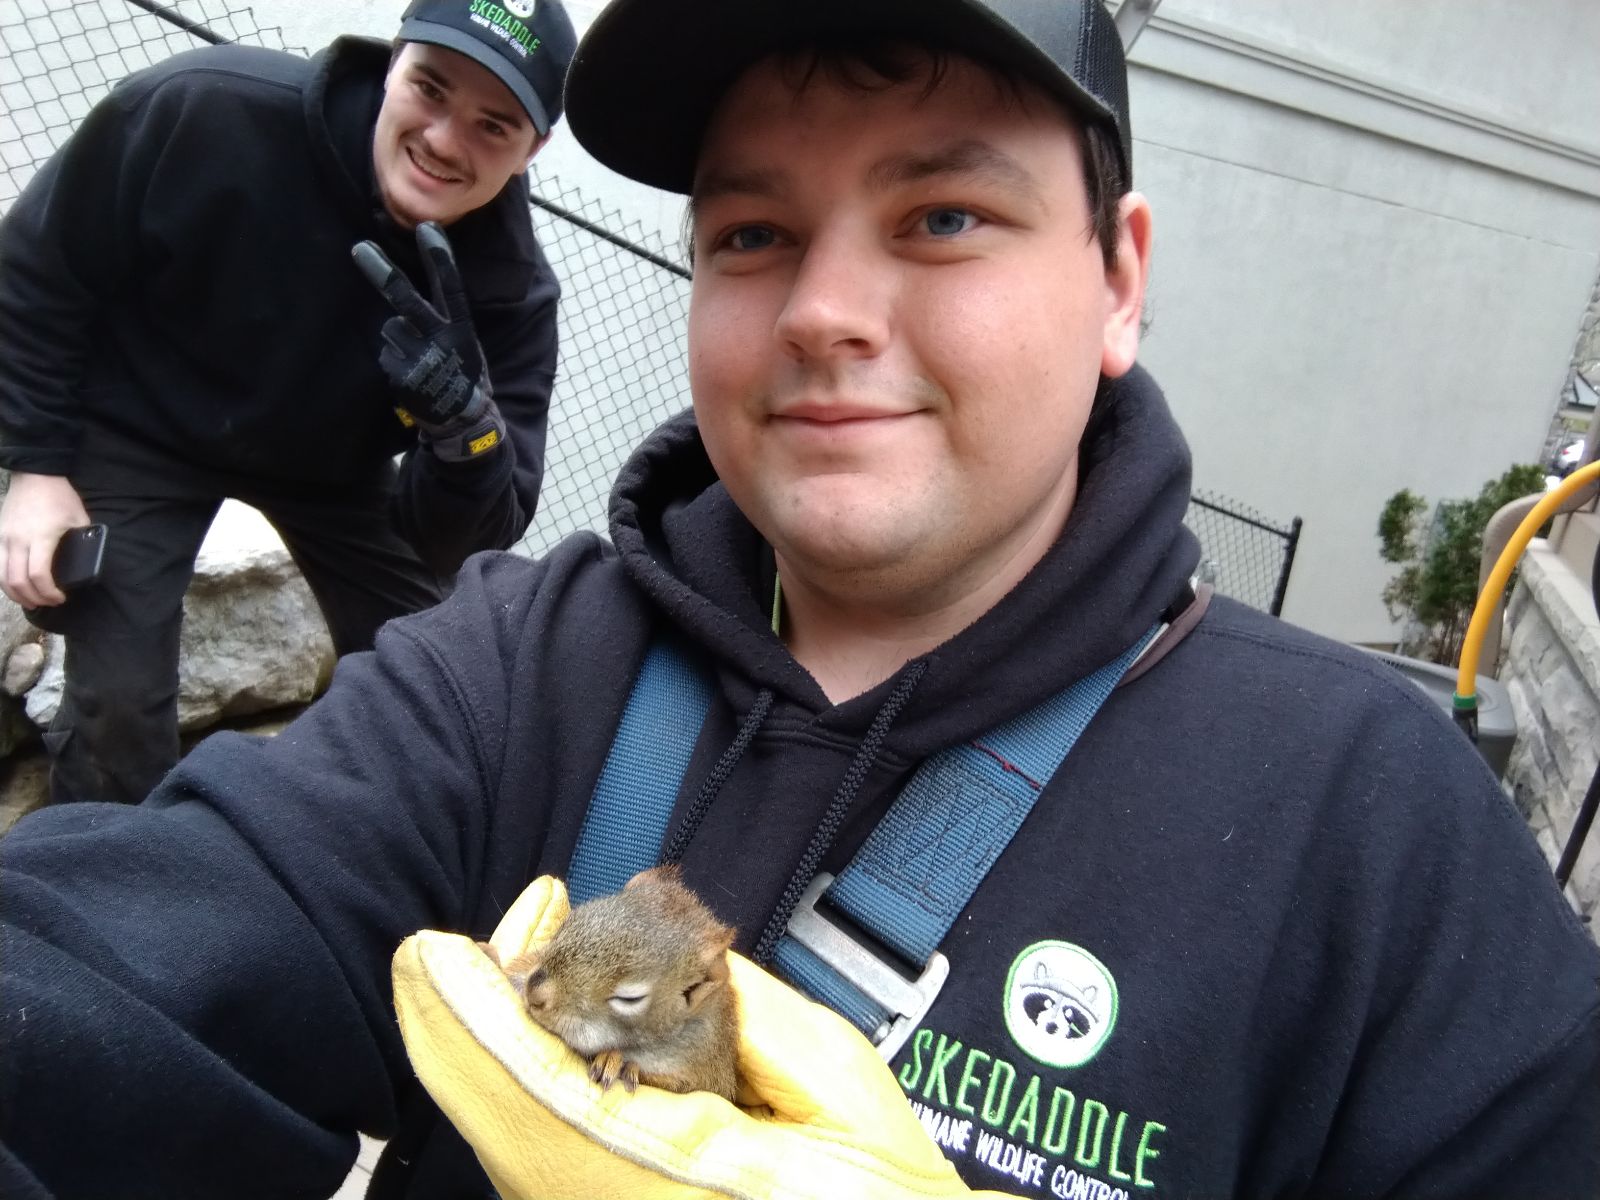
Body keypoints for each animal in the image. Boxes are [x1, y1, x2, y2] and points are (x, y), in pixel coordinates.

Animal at [483, 870, 739, 1107]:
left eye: (630, 998)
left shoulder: (702, 1069)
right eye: (568, 923)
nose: (534, 992)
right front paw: (490, 954)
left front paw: (614, 1061)